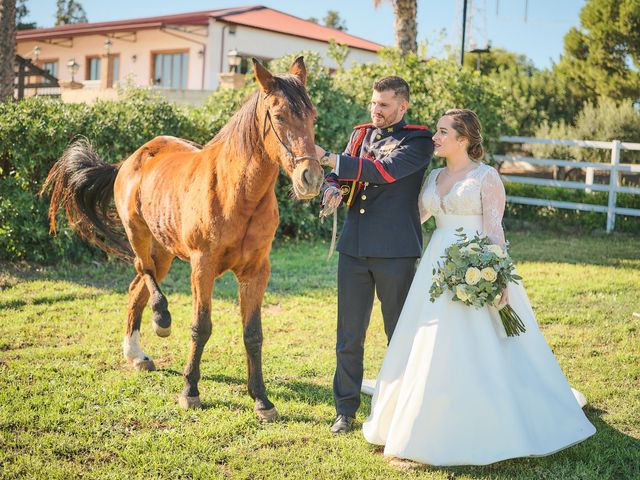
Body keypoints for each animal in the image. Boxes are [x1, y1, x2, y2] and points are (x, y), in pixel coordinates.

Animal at [43, 58, 324, 422]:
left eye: (312, 115)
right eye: (278, 116)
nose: (311, 178)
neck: (238, 194)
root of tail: (132, 158)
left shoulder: (256, 272)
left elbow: (253, 334)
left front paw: (262, 400)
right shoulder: (202, 267)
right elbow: (201, 327)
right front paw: (190, 390)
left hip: (164, 251)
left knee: (136, 289)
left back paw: (136, 354)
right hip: (139, 235)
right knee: (144, 273)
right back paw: (161, 320)